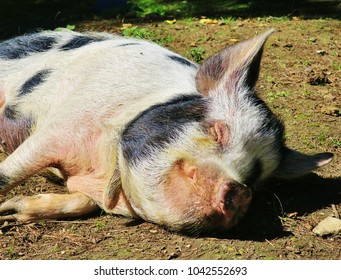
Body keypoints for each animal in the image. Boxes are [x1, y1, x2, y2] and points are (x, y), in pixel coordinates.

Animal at [0, 28, 332, 233]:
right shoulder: (62, 125)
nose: (240, 192)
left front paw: (10, 211)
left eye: (254, 178)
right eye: (218, 131)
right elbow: (12, 171)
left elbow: (80, 201)